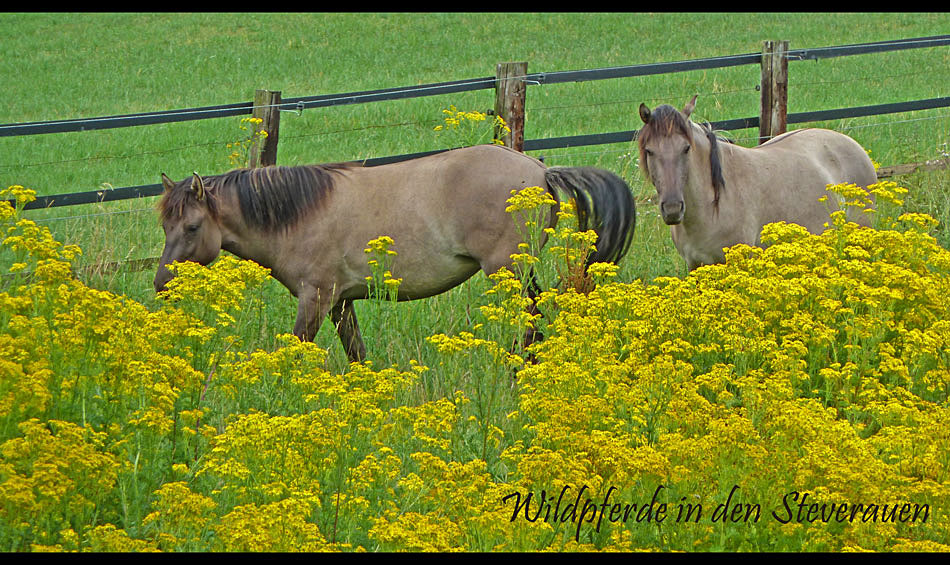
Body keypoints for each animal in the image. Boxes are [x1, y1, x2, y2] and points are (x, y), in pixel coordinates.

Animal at [152, 141, 636, 362]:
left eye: (192, 227)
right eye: (165, 226)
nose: (161, 285)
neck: (300, 214)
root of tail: (540, 169)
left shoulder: (316, 298)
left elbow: (297, 347)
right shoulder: (340, 302)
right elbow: (358, 354)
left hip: (509, 273)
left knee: (531, 328)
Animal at [636, 94, 880, 270]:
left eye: (686, 148)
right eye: (649, 151)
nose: (672, 209)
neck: (713, 204)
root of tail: (853, 145)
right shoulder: (694, 265)